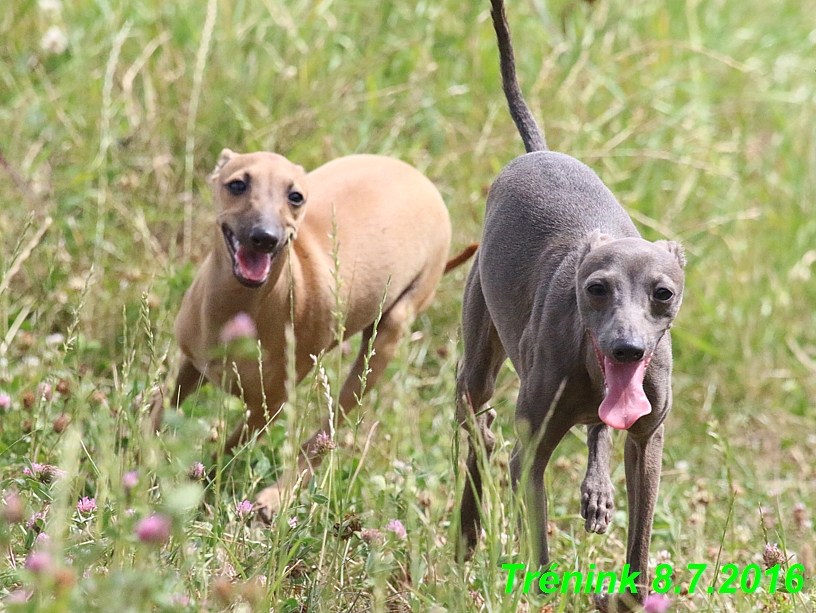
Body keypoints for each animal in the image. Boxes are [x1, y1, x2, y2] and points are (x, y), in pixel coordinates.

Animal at [170, 149, 474, 516]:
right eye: (237, 184)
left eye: (295, 196)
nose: (265, 237)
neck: (237, 307)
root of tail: (421, 179)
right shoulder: (189, 364)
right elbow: (160, 414)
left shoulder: (270, 406)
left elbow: (226, 450)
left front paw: (198, 483)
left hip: (385, 338)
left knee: (325, 432)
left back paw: (277, 495)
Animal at [456, 0, 684, 608]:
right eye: (596, 288)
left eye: (663, 293)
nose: (627, 349)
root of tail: (538, 152)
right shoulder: (530, 454)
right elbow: (535, 541)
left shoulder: (647, 440)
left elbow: (640, 542)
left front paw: (627, 594)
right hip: (477, 353)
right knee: (475, 429)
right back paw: (469, 523)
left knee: (595, 429)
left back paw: (596, 490)